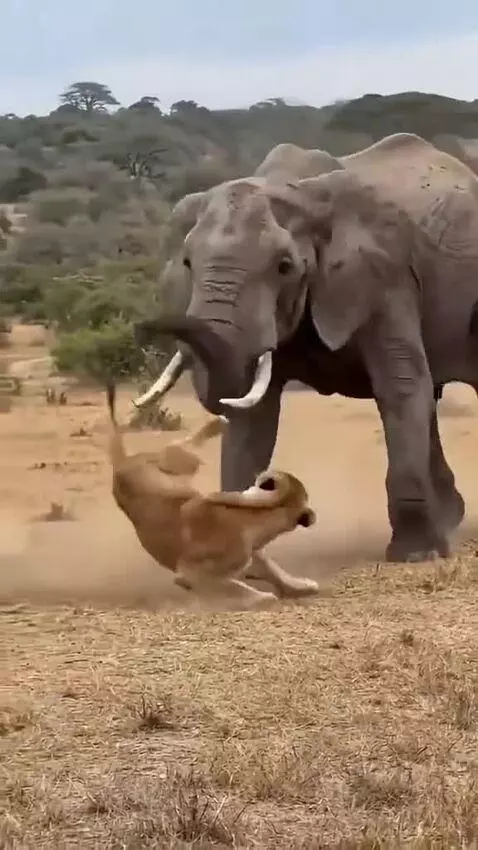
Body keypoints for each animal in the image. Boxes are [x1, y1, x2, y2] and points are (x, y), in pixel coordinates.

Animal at [106, 384, 319, 608]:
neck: (257, 513)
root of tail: (121, 465)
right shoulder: (189, 573)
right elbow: (233, 586)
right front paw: (262, 597)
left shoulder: (253, 556)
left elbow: (273, 570)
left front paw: (300, 585)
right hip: (181, 461)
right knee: (176, 444)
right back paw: (219, 422)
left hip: (181, 467)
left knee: (177, 445)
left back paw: (219, 423)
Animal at [133, 132, 478, 564]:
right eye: (186, 263)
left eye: (284, 267)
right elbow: (254, 416)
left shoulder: (386, 277)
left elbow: (399, 386)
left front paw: (415, 555)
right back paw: (450, 519)